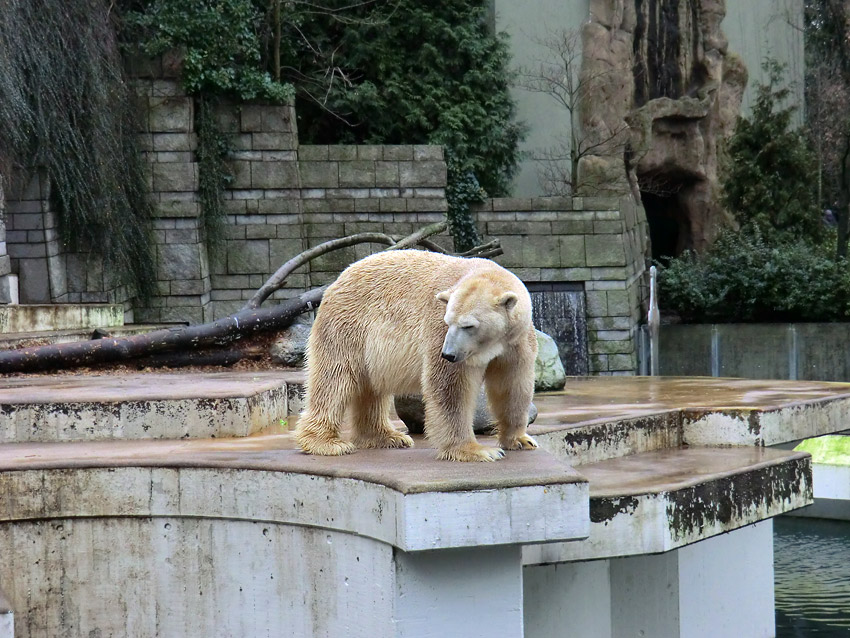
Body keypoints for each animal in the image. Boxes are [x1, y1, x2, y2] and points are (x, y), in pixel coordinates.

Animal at [296, 250, 536, 464]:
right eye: (448, 321)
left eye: (468, 325)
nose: (448, 354)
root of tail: (337, 281)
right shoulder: (438, 330)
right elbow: (451, 387)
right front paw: (475, 450)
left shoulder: (517, 341)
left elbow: (512, 384)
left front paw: (520, 440)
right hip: (347, 326)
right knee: (335, 380)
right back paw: (326, 443)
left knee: (371, 388)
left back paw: (386, 436)